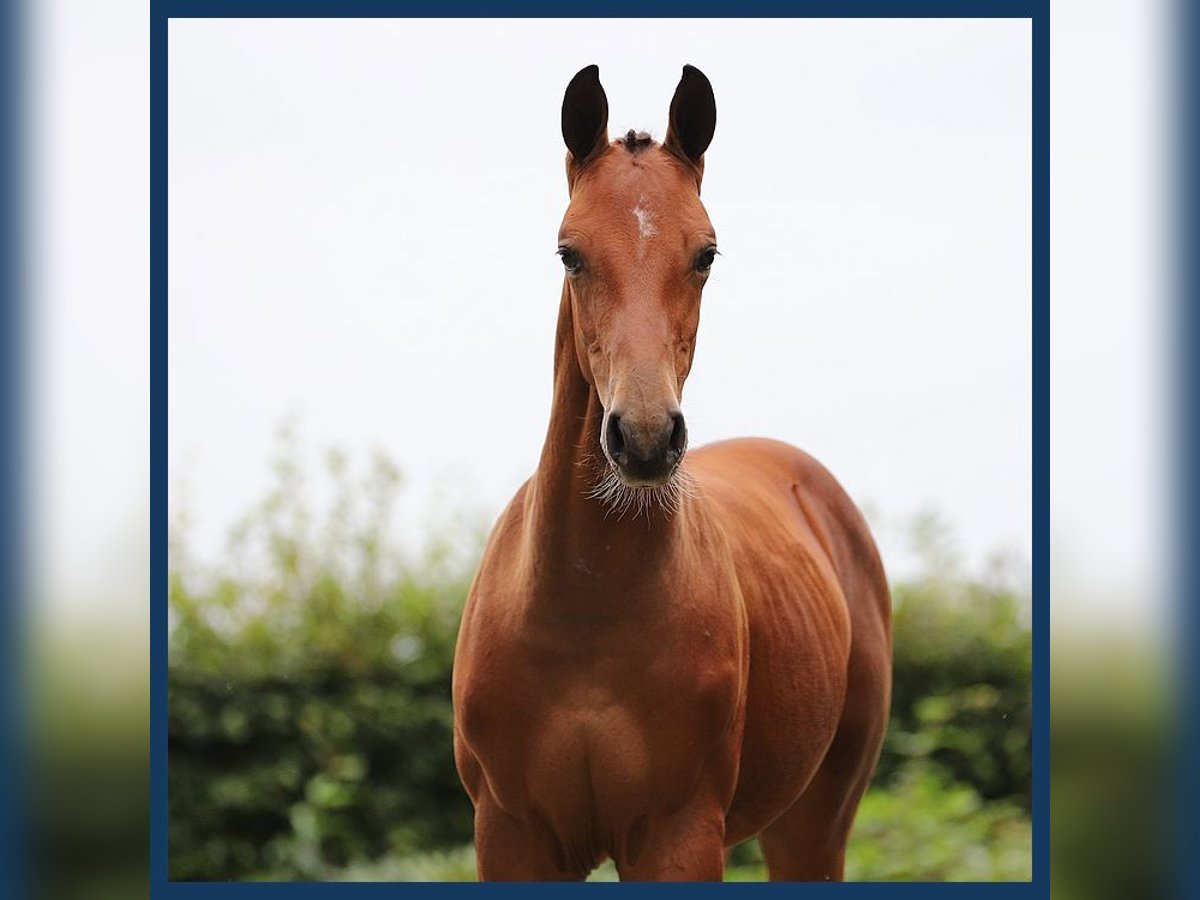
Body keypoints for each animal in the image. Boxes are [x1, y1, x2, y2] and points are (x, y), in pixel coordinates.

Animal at [451, 66, 892, 883]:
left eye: (706, 253)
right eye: (569, 252)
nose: (646, 437)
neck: (584, 614)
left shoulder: (678, 835)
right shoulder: (512, 835)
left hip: (815, 822)